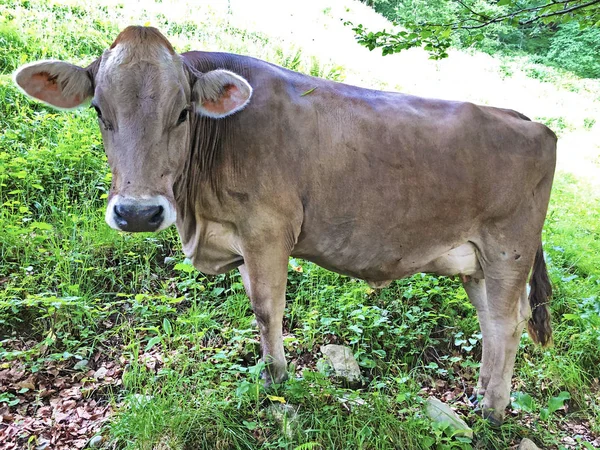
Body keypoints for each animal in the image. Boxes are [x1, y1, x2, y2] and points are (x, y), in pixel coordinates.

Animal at [15, 26, 556, 424]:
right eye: (99, 110)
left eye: (183, 112)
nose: (137, 212)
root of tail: (528, 119)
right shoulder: (240, 237)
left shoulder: (268, 231)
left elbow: (265, 308)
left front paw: (276, 381)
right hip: (476, 261)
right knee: (490, 322)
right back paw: (481, 395)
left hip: (508, 248)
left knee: (506, 324)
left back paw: (492, 411)